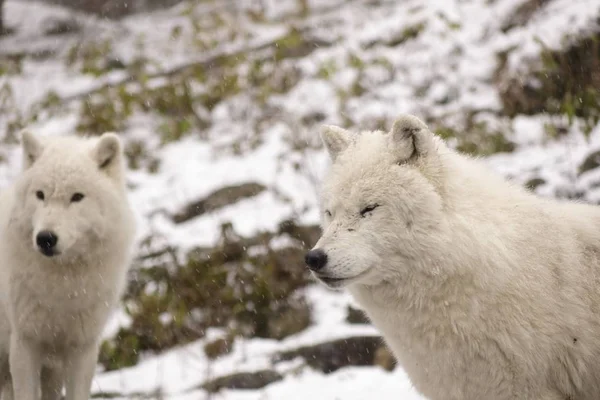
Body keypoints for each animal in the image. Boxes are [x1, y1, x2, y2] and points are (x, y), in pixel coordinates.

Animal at [0, 132, 136, 400]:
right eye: (40, 194)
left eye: (77, 197)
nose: (45, 238)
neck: (63, 287)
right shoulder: (24, 344)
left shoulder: (82, 348)